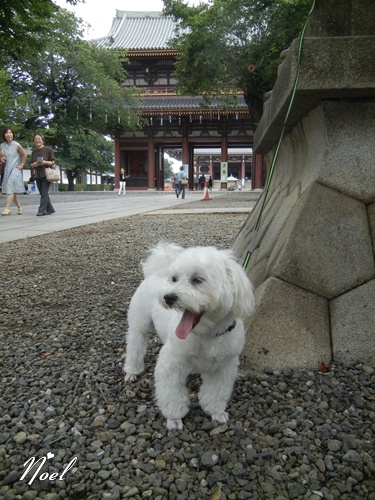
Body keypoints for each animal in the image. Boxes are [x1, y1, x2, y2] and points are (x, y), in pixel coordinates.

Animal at [123, 242, 256, 430]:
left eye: (198, 280)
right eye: (174, 279)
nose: (168, 297)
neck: (206, 334)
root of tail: (155, 273)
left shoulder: (224, 367)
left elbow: (216, 393)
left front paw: (216, 412)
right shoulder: (170, 364)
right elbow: (172, 394)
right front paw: (174, 419)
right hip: (139, 324)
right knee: (135, 345)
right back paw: (132, 371)